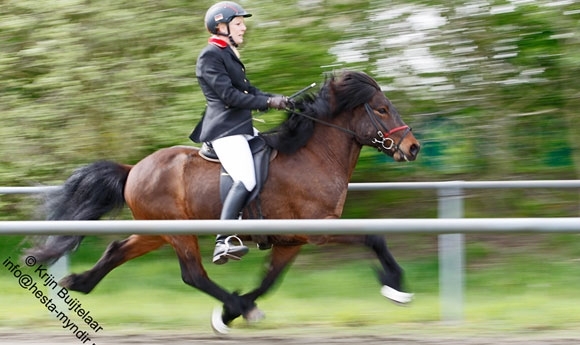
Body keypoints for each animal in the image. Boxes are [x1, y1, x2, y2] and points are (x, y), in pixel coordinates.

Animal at [24, 69, 422, 330]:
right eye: (382, 109)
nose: (413, 148)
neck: (312, 155)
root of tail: (133, 168)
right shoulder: (319, 228)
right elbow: (374, 237)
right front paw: (396, 286)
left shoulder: (292, 239)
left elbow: (270, 279)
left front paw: (235, 311)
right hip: (179, 232)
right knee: (193, 275)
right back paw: (235, 303)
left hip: (157, 230)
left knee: (117, 250)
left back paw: (78, 282)